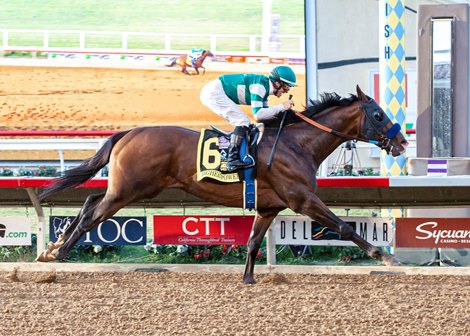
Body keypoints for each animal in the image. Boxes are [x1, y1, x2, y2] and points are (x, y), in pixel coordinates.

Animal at [37, 86, 408, 284]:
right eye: (378, 115)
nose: (402, 142)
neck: (296, 143)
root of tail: (128, 132)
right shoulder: (302, 199)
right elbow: (344, 227)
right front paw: (386, 258)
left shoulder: (269, 207)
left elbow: (254, 242)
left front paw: (248, 278)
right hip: (130, 189)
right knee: (93, 214)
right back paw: (59, 253)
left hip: (132, 188)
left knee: (90, 203)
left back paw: (53, 247)